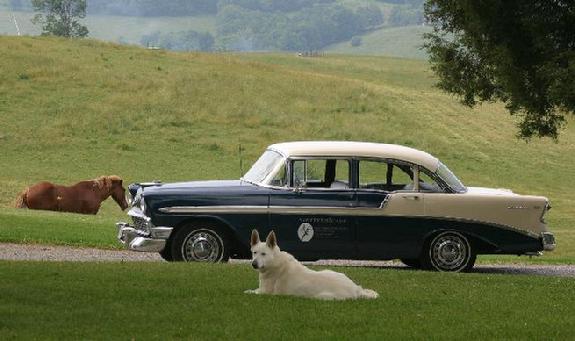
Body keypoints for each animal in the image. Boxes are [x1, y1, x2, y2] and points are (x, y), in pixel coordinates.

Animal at [245, 230, 380, 298]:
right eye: (254, 252)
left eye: (264, 254)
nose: (254, 264)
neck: (274, 261)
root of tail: (356, 290)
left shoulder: (263, 292)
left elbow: (250, 292)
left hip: (321, 296)